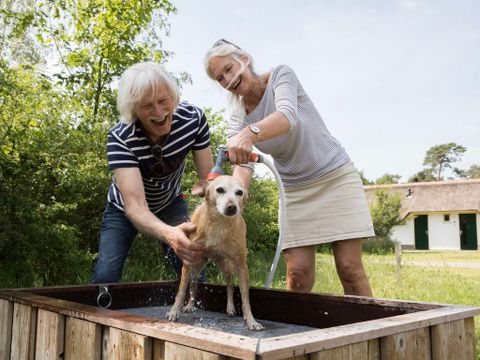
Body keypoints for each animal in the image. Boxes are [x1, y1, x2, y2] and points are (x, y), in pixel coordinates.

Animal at [165, 176, 262, 330]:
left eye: (239, 192)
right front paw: (174, 311)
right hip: (195, 267)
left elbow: (245, 298)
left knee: (229, 286)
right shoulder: (187, 261)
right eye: (220, 190)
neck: (219, 226)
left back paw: (230, 308)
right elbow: (181, 292)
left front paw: (251, 321)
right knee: (193, 286)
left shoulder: (242, 266)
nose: (232, 207)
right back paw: (190, 305)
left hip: (226, 267)